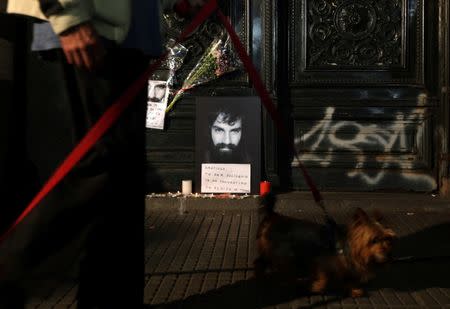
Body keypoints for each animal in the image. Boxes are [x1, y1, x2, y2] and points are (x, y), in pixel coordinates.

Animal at [255, 192, 396, 296]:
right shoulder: (321, 260)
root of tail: (272, 216)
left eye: (388, 239)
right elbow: (324, 276)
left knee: (260, 262)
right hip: (282, 252)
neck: (346, 245)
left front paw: (354, 290)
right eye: (374, 240)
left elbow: (347, 278)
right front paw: (316, 287)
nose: (389, 256)